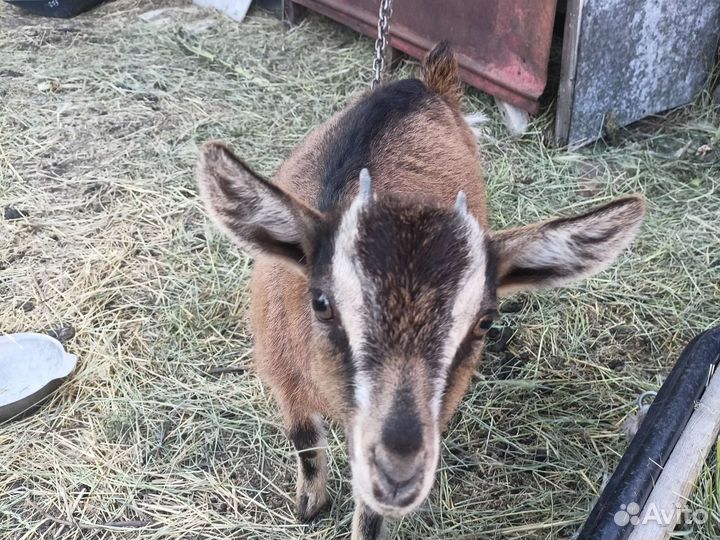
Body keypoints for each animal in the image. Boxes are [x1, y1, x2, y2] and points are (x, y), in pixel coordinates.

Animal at [196, 42, 645, 540]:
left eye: (485, 321)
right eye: (322, 303)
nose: (399, 471)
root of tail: (427, 81)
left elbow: (369, 510)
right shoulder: (282, 376)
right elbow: (304, 442)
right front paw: (309, 504)